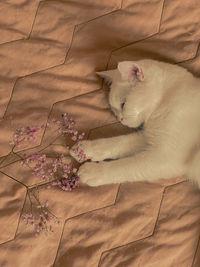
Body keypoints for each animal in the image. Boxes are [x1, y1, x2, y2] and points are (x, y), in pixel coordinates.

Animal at [69, 59, 200, 187]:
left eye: (123, 105)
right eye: (114, 110)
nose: (119, 119)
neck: (166, 97)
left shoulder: (166, 156)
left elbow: (126, 166)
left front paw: (94, 171)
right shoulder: (149, 138)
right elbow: (119, 142)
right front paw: (84, 150)